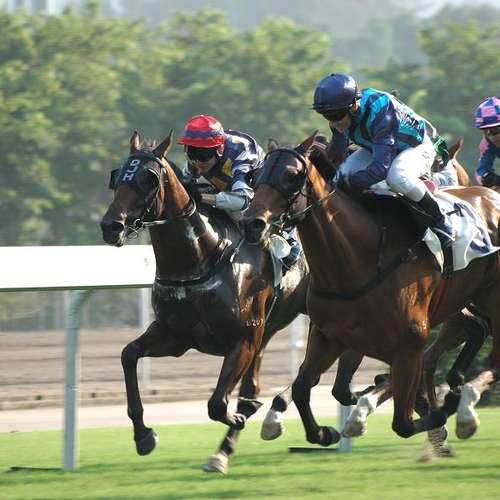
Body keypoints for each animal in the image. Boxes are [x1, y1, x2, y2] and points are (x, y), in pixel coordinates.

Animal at [100, 131, 310, 473]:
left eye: (149, 177)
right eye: (118, 176)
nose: (110, 226)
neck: (202, 258)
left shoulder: (243, 339)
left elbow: (217, 404)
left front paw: (240, 416)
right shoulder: (176, 337)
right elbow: (128, 354)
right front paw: (143, 435)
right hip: (268, 330)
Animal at [242, 133, 500, 445]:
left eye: (292, 176)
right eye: (256, 176)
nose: (253, 223)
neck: (357, 259)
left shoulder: (409, 343)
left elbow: (402, 422)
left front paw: (436, 409)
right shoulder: (331, 336)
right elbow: (304, 387)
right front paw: (324, 431)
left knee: (491, 355)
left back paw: (462, 407)